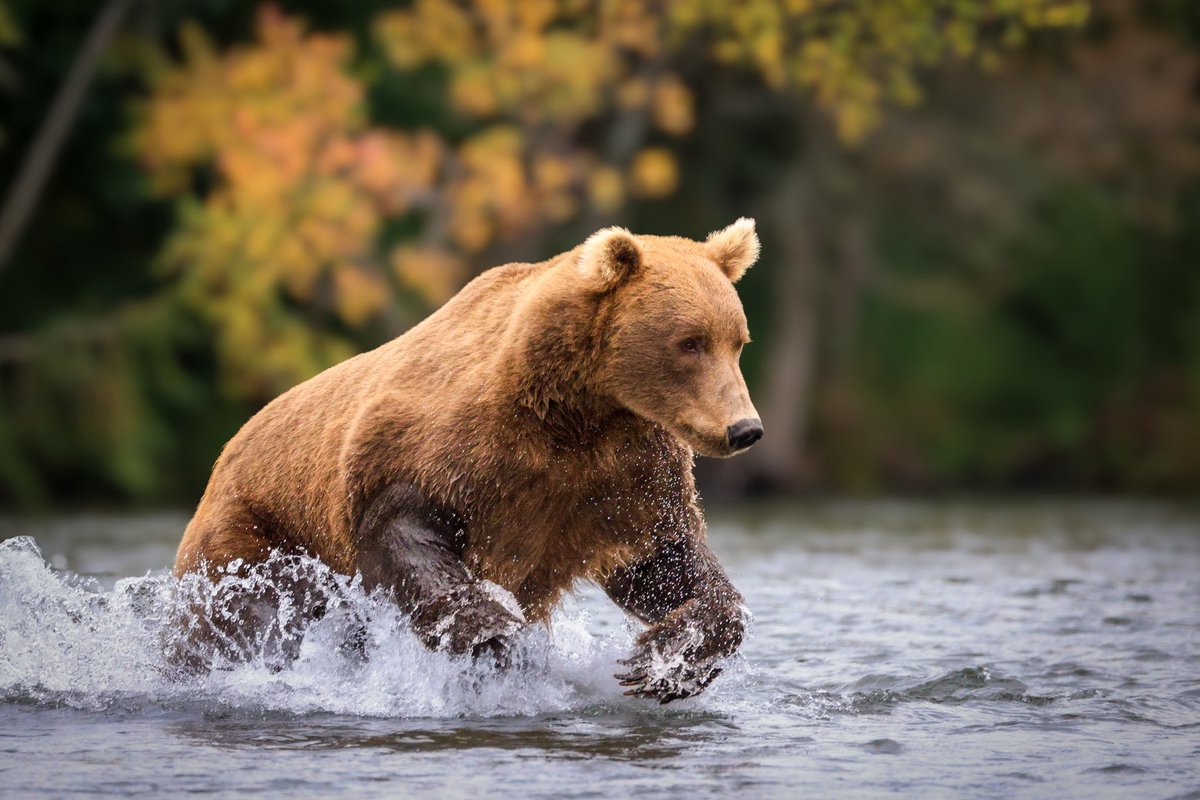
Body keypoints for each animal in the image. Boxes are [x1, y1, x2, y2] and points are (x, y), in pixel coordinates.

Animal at [174, 218, 764, 702]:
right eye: (689, 342)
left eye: (737, 340)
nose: (744, 428)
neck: (576, 412)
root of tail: (224, 454)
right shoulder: (445, 449)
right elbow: (405, 536)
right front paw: (502, 640)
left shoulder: (622, 475)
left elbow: (661, 560)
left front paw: (666, 659)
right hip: (260, 530)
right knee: (246, 613)